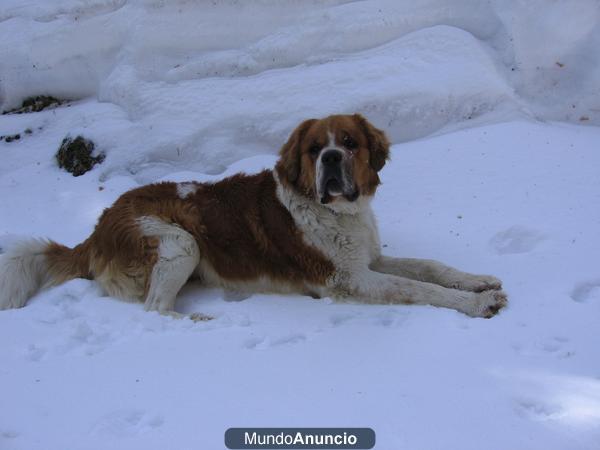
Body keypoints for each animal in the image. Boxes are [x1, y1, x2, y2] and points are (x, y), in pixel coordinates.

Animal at [0, 116, 506, 320]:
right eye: (314, 149)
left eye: (349, 142)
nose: (331, 158)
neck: (335, 212)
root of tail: (96, 227)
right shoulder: (348, 280)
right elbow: (417, 288)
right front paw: (477, 304)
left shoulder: (368, 261)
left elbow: (429, 268)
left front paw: (477, 281)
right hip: (180, 242)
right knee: (154, 309)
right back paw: (199, 322)